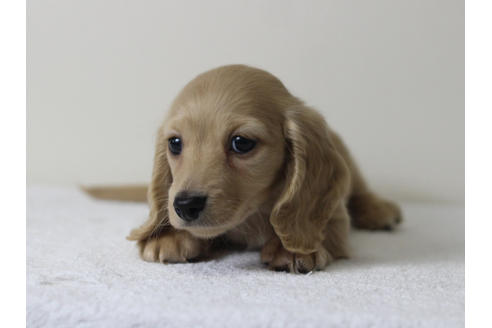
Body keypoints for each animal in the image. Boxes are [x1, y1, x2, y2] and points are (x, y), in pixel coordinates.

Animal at [116, 65, 404, 272]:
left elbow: (326, 228)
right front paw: (168, 236)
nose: (186, 205)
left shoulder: (335, 214)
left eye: (241, 143)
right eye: (175, 143)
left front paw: (290, 248)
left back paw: (379, 209)